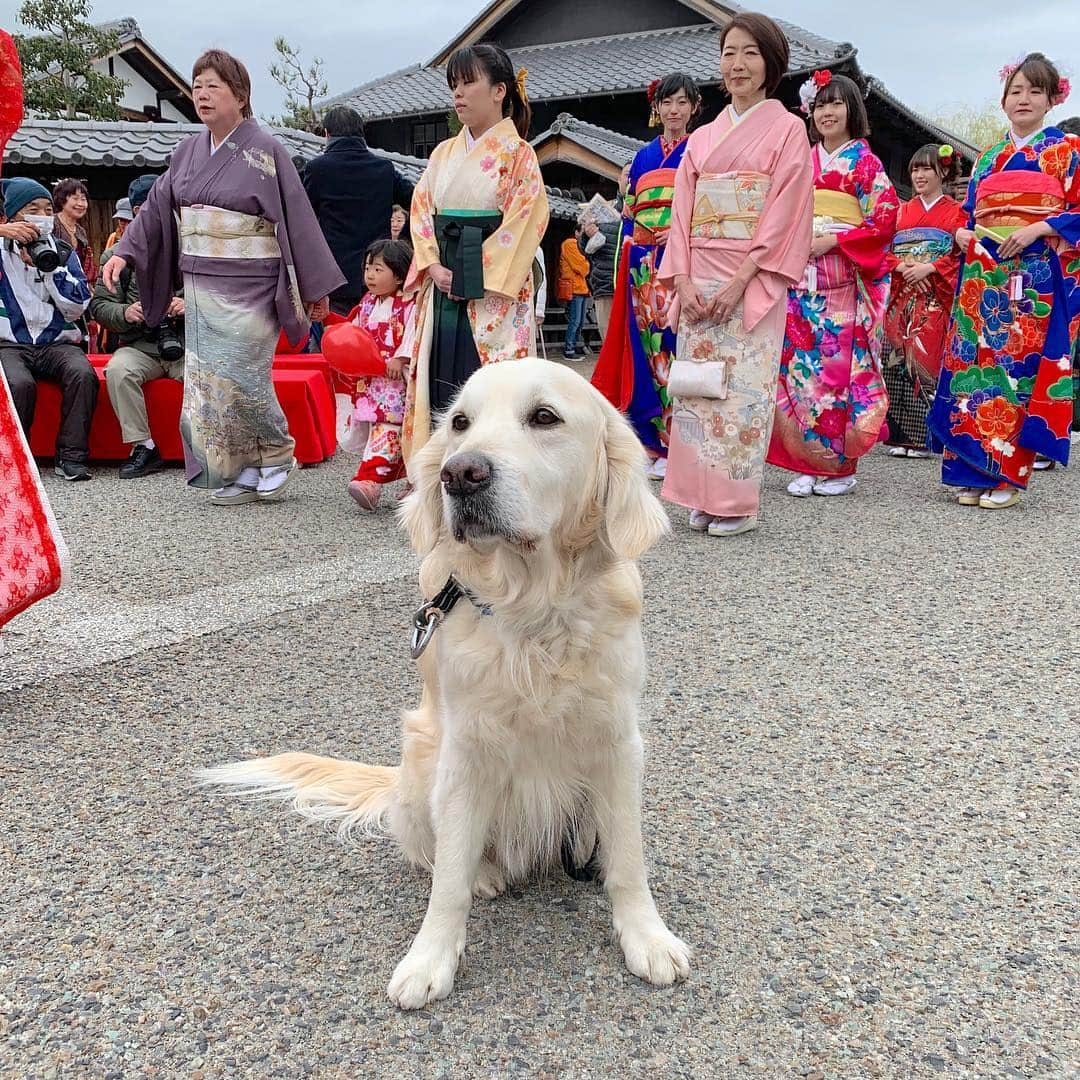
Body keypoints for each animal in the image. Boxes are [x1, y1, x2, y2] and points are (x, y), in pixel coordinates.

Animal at [203, 358, 691, 1006]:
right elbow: (449, 880)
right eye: (460, 423)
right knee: (436, 855)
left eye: (544, 417)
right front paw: (431, 956)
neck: (534, 613)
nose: (460, 474)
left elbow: (629, 861)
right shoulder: (465, 755)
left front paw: (647, 937)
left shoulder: (618, 743)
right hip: (422, 769)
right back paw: (485, 873)